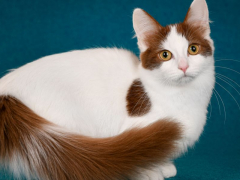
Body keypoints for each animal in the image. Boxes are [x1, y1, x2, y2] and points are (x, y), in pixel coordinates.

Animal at [0, 0, 214, 179]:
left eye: (193, 49)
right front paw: (148, 171)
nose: (184, 66)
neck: (184, 97)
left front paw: (164, 166)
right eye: (165, 55)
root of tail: (5, 90)